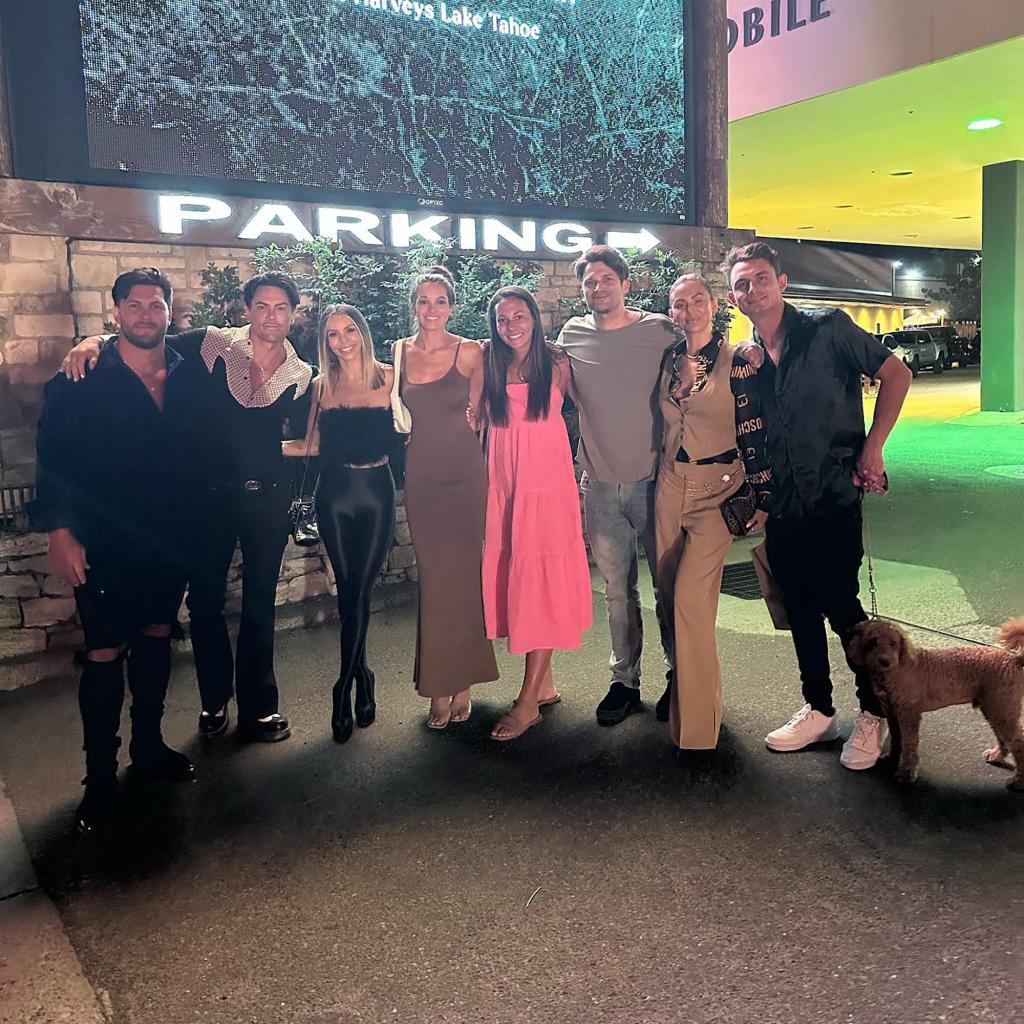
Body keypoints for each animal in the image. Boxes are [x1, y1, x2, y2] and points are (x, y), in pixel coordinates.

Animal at [843, 614, 1024, 790]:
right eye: (872, 641)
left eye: (894, 643)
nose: (885, 661)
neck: (899, 667)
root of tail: (1014, 660)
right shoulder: (892, 712)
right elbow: (896, 738)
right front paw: (893, 757)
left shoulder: (909, 714)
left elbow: (909, 744)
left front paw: (907, 773)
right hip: (995, 708)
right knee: (1003, 737)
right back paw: (997, 755)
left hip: (1002, 708)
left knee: (1018, 743)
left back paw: (1018, 781)